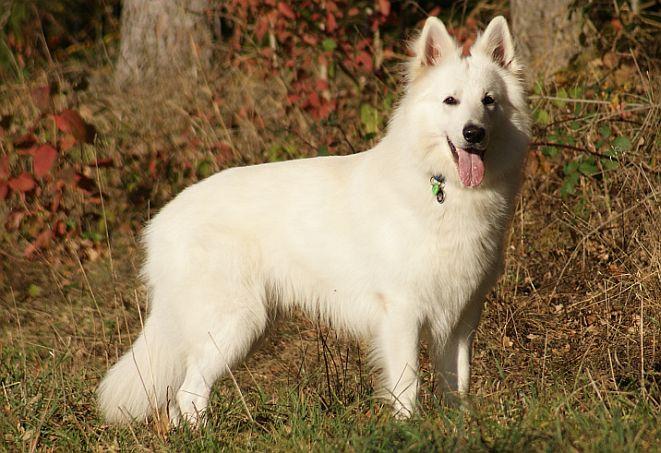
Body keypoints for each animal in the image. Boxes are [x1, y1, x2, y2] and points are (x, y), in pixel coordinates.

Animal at [99, 15, 532, 424]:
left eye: (488, 101)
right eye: (450, 101)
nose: (473, 133)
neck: (442, 187)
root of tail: (161, 221)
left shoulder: (462, 316)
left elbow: (458, 384)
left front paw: (459, 427)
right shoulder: (403, 312)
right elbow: (407, 384)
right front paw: (408, 429)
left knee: (178, 400)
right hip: (235, 323)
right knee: (189, 394)